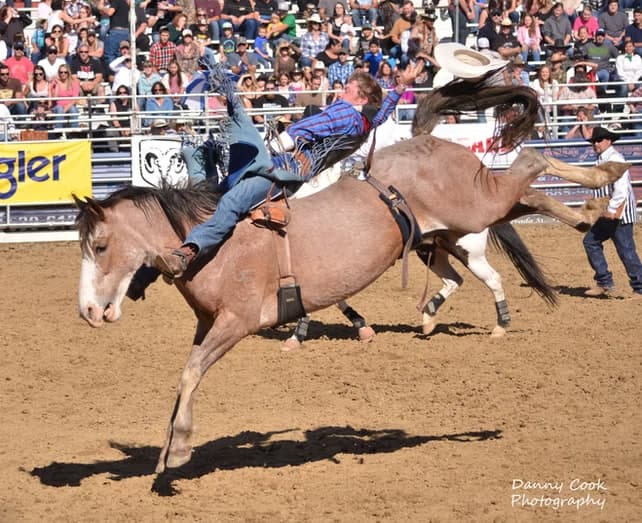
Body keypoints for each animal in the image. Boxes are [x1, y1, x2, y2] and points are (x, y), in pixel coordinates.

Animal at [75, 83, 629, 474]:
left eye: (100, 246)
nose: (87, 311)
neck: (210, 239)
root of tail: (426, 140)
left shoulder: (236, 321)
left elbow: (191, 373)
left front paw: (179, 452)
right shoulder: (207, 324)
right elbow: (185, 377)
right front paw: (166, 449)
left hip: (477, 207)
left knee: (530, 163)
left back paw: (601, 180)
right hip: (465, 219)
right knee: (527, 195)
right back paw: (587, 210)